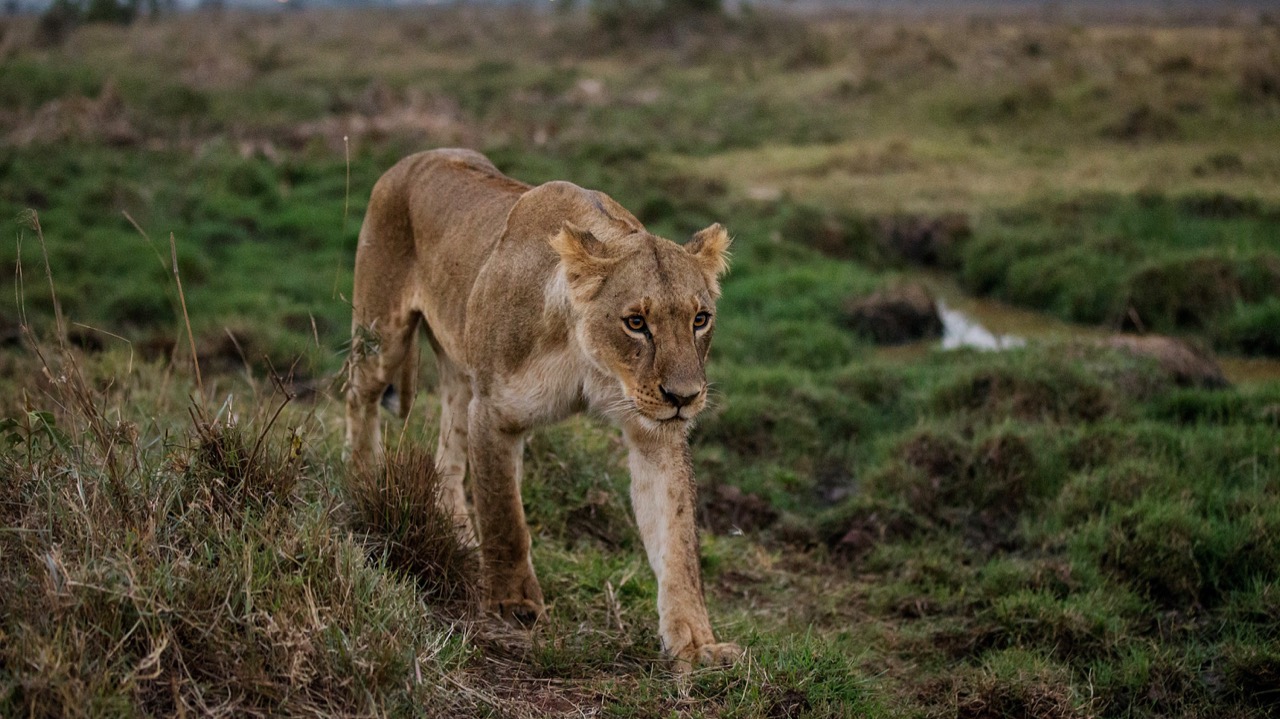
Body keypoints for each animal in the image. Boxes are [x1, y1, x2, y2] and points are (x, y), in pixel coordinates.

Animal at [346, 148, 741, 670]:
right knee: (359, 399)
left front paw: (696, 644)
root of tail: (413, 158)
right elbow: (505, 514)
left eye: (700, 319)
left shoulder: (654, 433)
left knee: (448, 453)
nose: (684, 397)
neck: (593, 361)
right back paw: (361, 485)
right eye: (636, 322)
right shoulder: (494, 412)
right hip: (381, 335)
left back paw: (458, 534)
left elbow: (677, 542)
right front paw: (513, 604)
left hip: (458, 366)